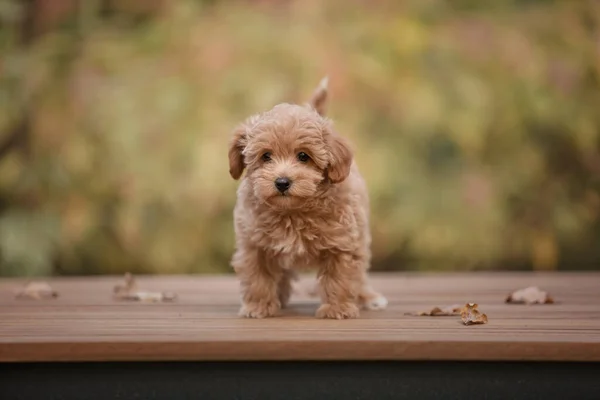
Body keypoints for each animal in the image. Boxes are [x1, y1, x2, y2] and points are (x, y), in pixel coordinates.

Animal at [227, 78, 386, 318]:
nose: (282, 182)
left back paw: (367, 297)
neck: (293, 212)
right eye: (266, 156)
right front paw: (258, 307)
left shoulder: (342, 244)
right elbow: (258, 277)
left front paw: (337, 309)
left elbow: (340, 277)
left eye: (303, 156)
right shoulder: (254, 244)